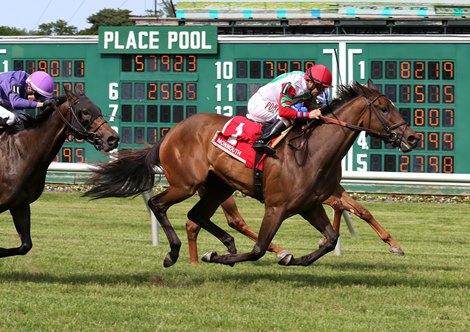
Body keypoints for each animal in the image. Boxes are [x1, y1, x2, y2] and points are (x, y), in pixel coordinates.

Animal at [0, 87, 119, 258]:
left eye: (99, 110)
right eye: (84, 112)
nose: (112, 138)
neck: (18, 153)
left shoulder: (20, 205)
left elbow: (25, 246)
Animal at [85, 80, 418, 268]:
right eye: (384, 108)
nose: (412, 138)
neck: (312, 152)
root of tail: (170, 133)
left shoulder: (310, 205)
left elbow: (330, 238)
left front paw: (298, 259)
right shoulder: (276, 206)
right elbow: (258, 249)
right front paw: (218, 257)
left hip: (217, 187)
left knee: (197, 216)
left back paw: (218, 245)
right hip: (186, 183)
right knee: (159, 205)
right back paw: (176, 254)